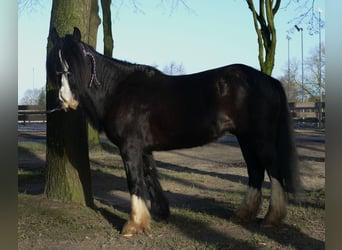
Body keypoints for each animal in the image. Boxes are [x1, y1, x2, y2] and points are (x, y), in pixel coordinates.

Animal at [46, 28, 300, 237]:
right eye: (56, 65)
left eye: (75, 65)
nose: (65, 100)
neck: (119, 90)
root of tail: (269, 80)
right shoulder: (143, 149)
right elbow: (150, 177)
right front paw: (159, 213)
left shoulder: (130, 147)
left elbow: (135, 181)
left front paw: (133, 226)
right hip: (245, 139)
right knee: (255, 171)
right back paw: (243, 215)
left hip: (260, 139)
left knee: (274, 170)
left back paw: (271, 218)